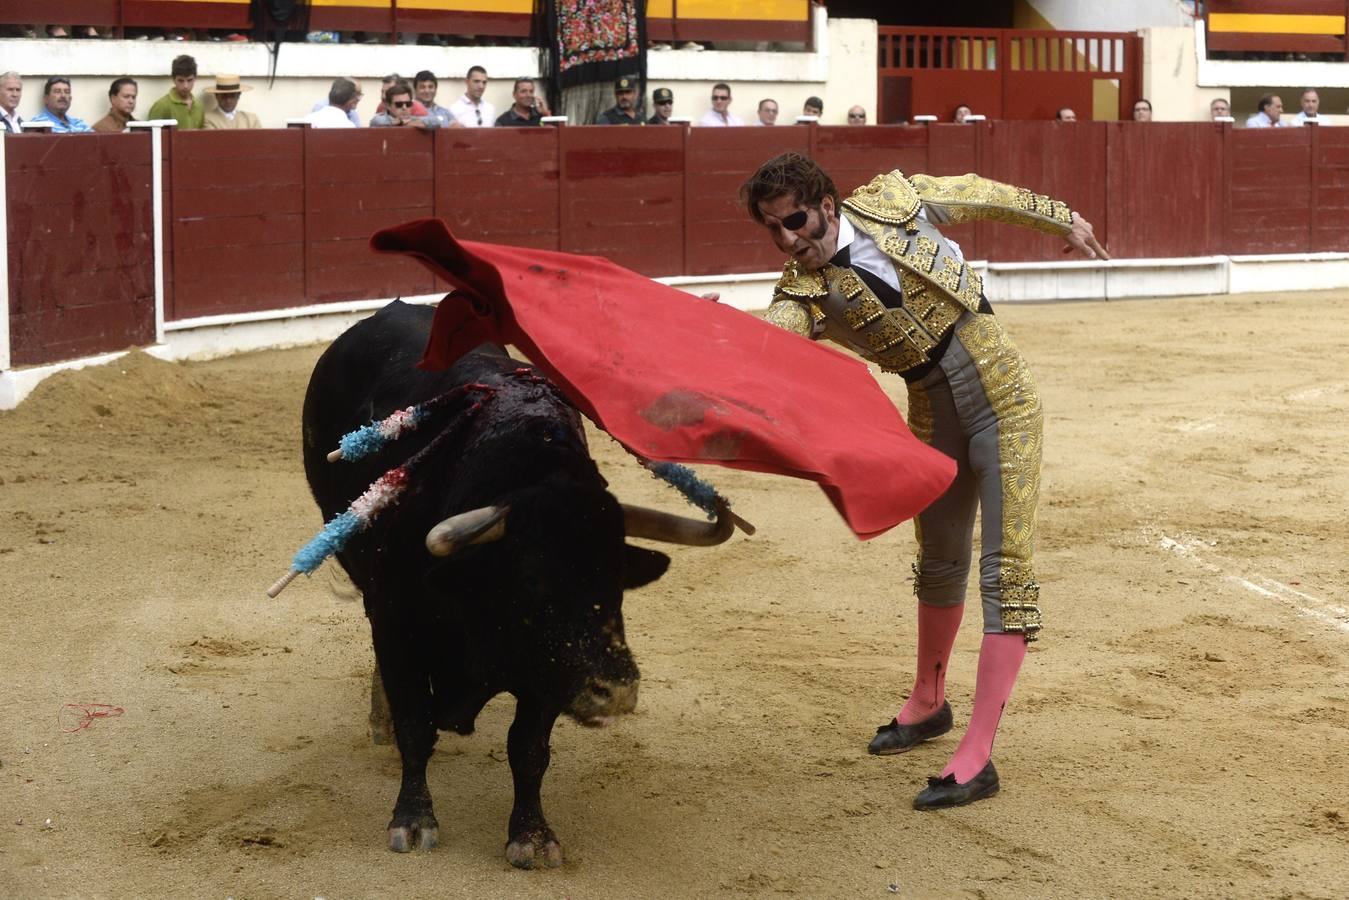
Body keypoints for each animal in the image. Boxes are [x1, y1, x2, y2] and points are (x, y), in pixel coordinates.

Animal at [300, 300, 739, 863]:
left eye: (617, 577)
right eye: (531, 579)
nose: (616, 692)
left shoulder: (547, 666)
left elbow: (528, 748)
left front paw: (532, 834)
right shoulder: (398, 627)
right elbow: (416, 726)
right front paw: (413, 821)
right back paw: (381, 725)